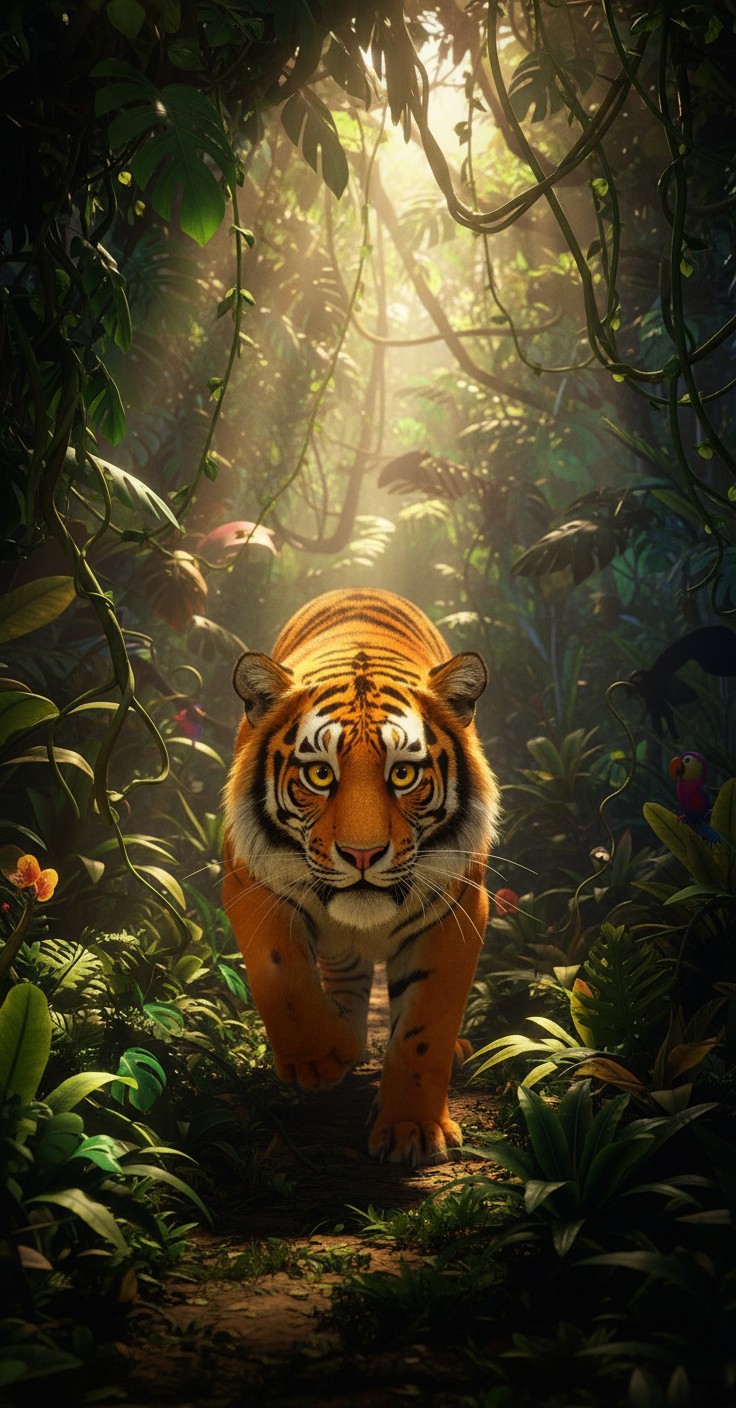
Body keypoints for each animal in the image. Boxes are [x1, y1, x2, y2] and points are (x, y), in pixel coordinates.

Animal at [222, 588, 500, 1166]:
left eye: (404, 773)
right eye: (319, 774)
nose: (363, 853)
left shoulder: (457, 911)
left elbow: (424, 1029)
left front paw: (412, 1128)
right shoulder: (249, 884)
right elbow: (281, 975)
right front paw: (320, 1057)